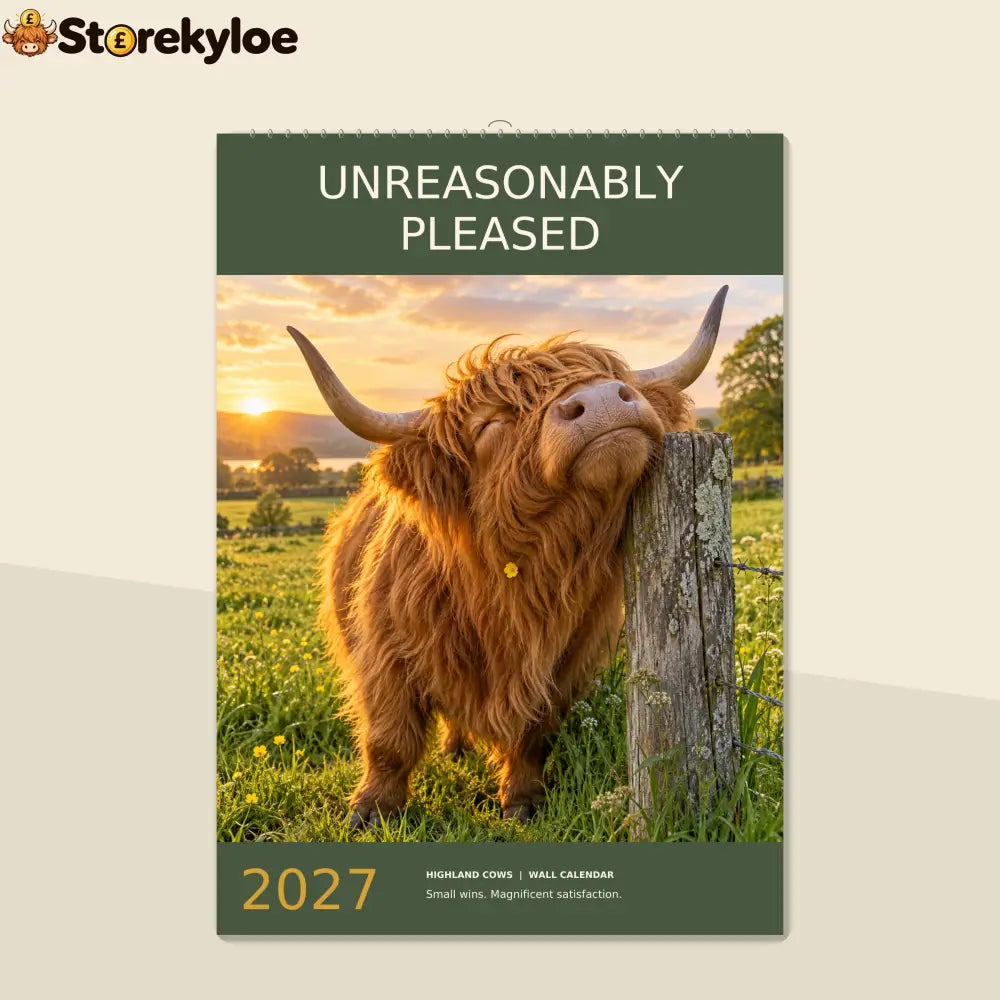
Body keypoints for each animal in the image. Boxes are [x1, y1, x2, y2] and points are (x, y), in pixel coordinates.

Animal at [287, 285, 728, 827]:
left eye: (615, 380)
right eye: (490, 424)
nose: (603, 399)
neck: (514, 591)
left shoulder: (565, 663)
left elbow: (534, 736)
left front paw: (523, 800)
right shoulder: (385, 658)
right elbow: (390, 740)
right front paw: (372, 811)